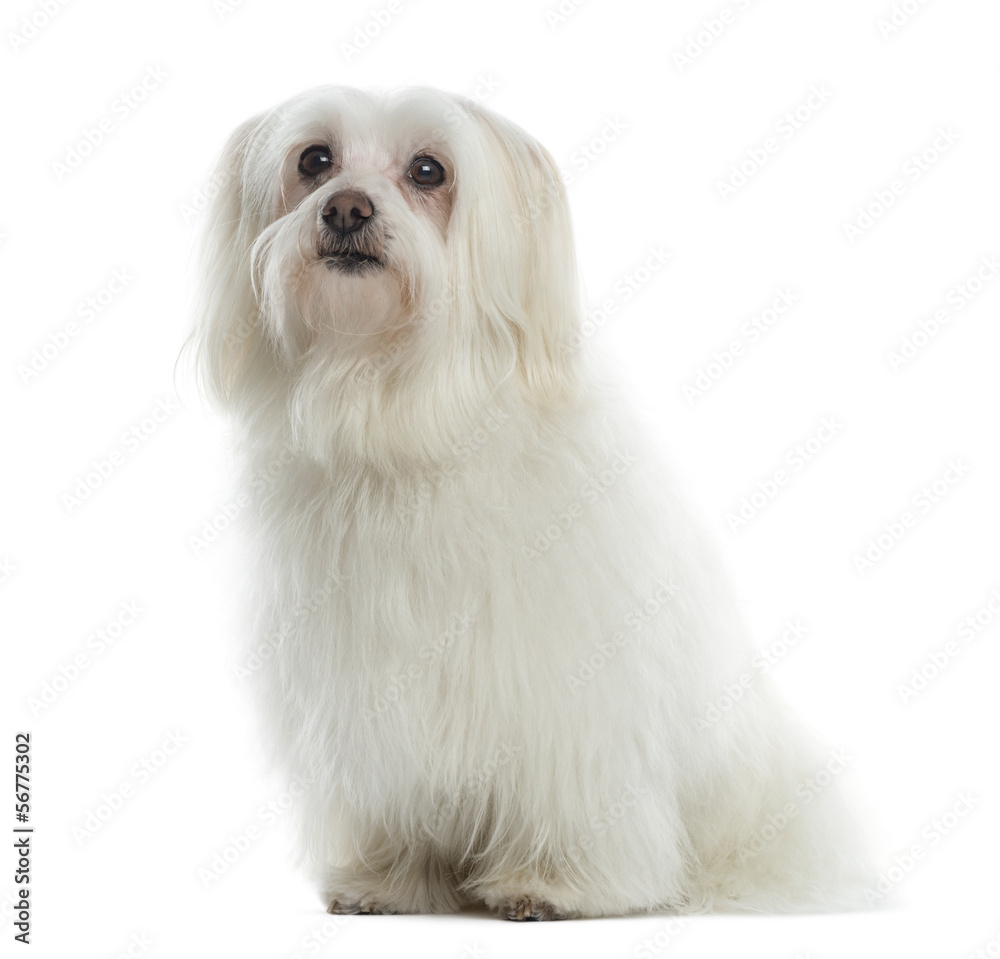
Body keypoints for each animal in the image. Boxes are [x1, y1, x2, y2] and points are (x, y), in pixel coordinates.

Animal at [191, 86, 872, 920]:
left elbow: (569, 785)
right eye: (314, 159)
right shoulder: (365, 689)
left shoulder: (567, 688)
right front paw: (389, 878)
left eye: (429, 169)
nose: (346, 209)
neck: (405, 415)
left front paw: (551, 883)